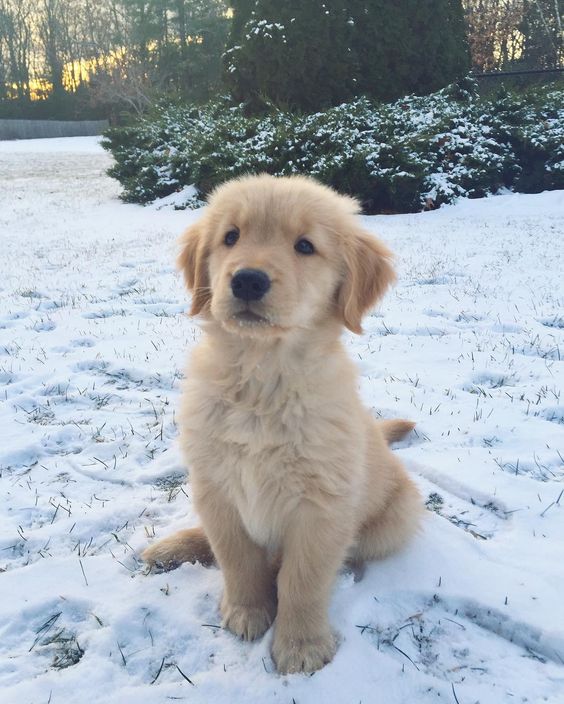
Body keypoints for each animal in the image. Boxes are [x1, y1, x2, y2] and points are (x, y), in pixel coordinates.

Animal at [143, 173, 420, 672]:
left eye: (305, 246)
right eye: (230, 237)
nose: (248, 280)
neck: (261, 378)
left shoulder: (322, 507)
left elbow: (302, 578)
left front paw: (301, 645)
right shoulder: (216, 487)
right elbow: (236, 558)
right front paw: (247, 610)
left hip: (398, 516)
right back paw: (171, 547)